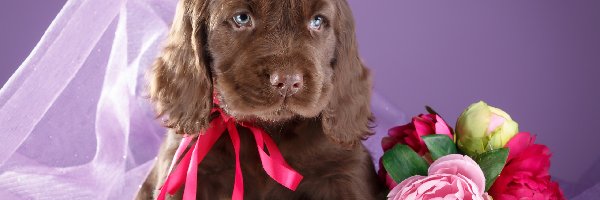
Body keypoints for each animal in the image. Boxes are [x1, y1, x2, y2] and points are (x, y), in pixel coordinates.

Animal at [137, 0, 384, 198]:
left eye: (317, 21)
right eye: (242, 18)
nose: (288, 81)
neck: (265, 129)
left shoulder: (344, 172)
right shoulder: (187, 170)